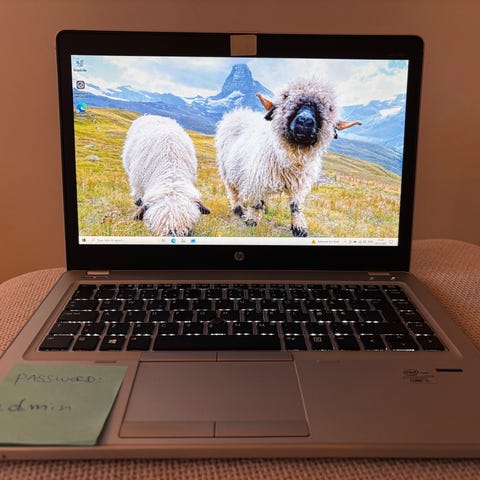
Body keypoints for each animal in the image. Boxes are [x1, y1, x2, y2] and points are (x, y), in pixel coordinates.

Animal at [215, 78, 361, 237]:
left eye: (329, 108)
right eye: (286, 97)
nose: (304, 122)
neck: (292, 158)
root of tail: (238, 112)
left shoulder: (299, 186)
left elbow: (296, 206)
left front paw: (299, 228)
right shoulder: (257, 181)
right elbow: (256, 204)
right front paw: (251, 222)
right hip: (227, 170)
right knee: (233, 191)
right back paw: (238, 209)